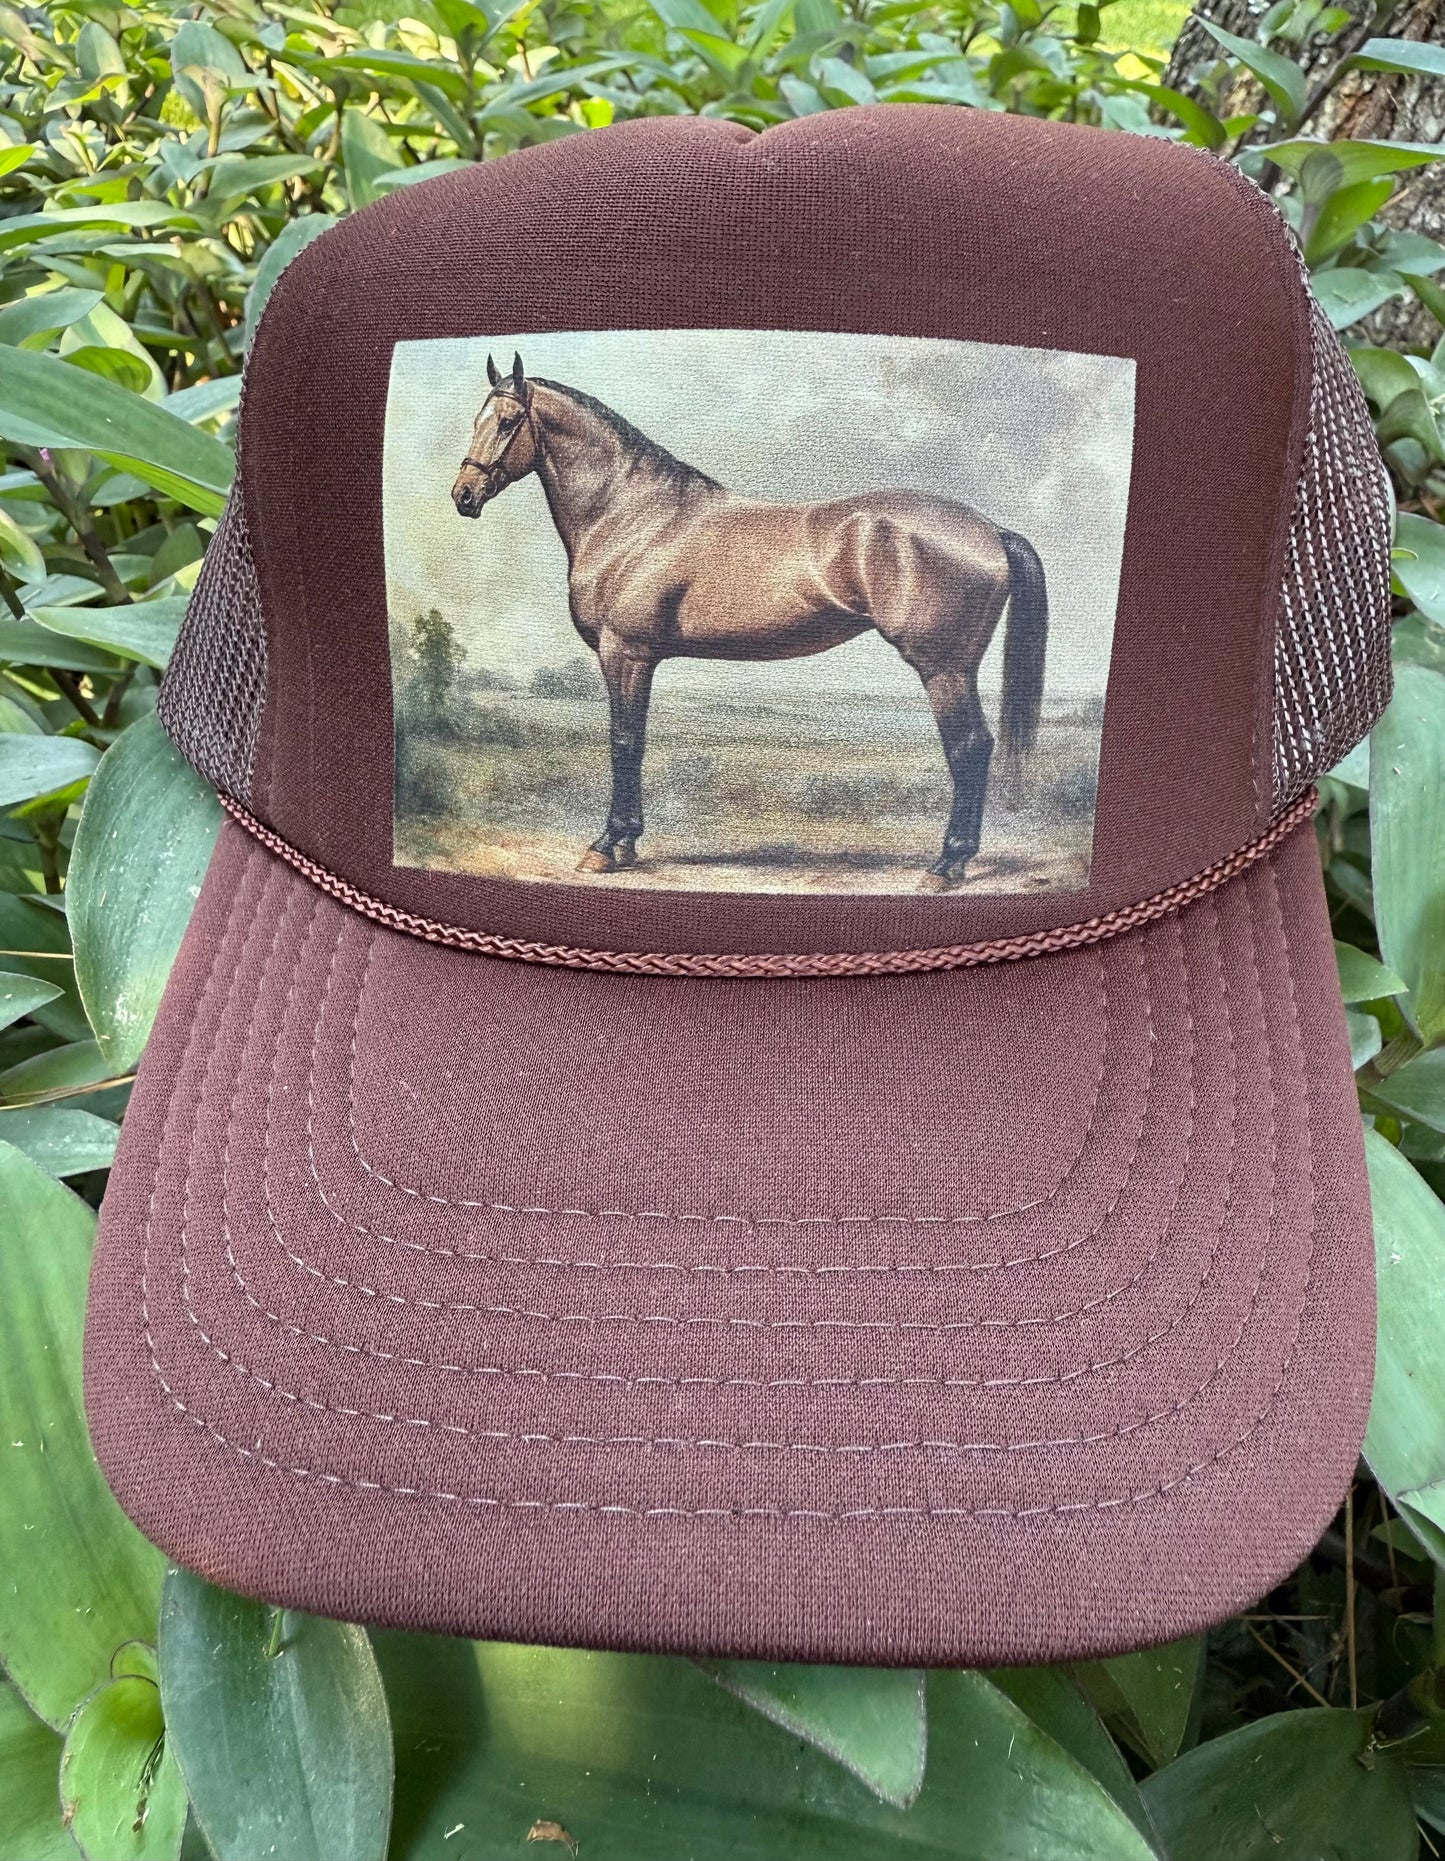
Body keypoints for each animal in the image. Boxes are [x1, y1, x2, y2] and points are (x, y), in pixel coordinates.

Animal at [451, 352, 1048, 893]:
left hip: (944, 669)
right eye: (476, 419)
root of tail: (991, 530)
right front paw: (624, 842)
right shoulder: (639, 658)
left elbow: (625, 741)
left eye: (507, 422)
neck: (632, 516)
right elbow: (634, 739)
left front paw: (608, 846)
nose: (463, 496)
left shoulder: (626, 653)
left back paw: (946, 865)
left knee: (969, 748)